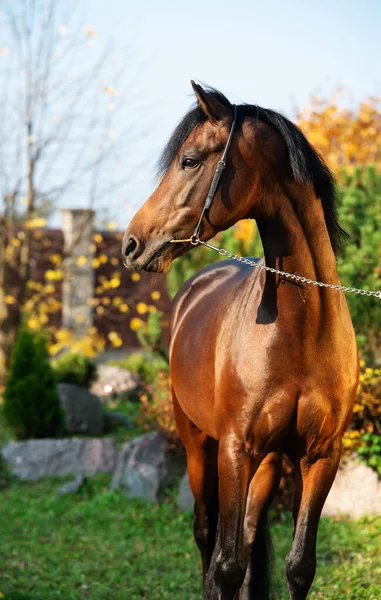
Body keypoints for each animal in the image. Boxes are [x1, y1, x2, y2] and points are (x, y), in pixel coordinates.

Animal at [122, 83, 360, 600]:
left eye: (189, 160)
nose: (131, 243)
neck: (303, 333)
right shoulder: (234, 450)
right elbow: (225, 567)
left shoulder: (321, 456)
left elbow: (297, 566)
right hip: (197, 444)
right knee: (206, 534)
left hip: (267, 462)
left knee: (249, 537)